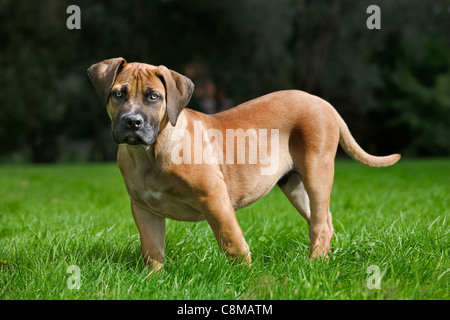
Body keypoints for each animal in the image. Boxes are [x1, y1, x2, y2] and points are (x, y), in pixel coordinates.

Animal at [88, 57, 400, 270]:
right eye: (118, 94)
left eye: (154, 97)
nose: (133, 122)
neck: (148, 154)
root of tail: (324, 103)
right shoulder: (144, 209)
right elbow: (152, 250)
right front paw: (156, 278)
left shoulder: (214, 196)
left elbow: (231, 240)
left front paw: (245, 275)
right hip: (294, 184)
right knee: (323, 220)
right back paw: (322, 259)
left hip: (317, 171)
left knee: (320, 225)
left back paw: (313, 265)